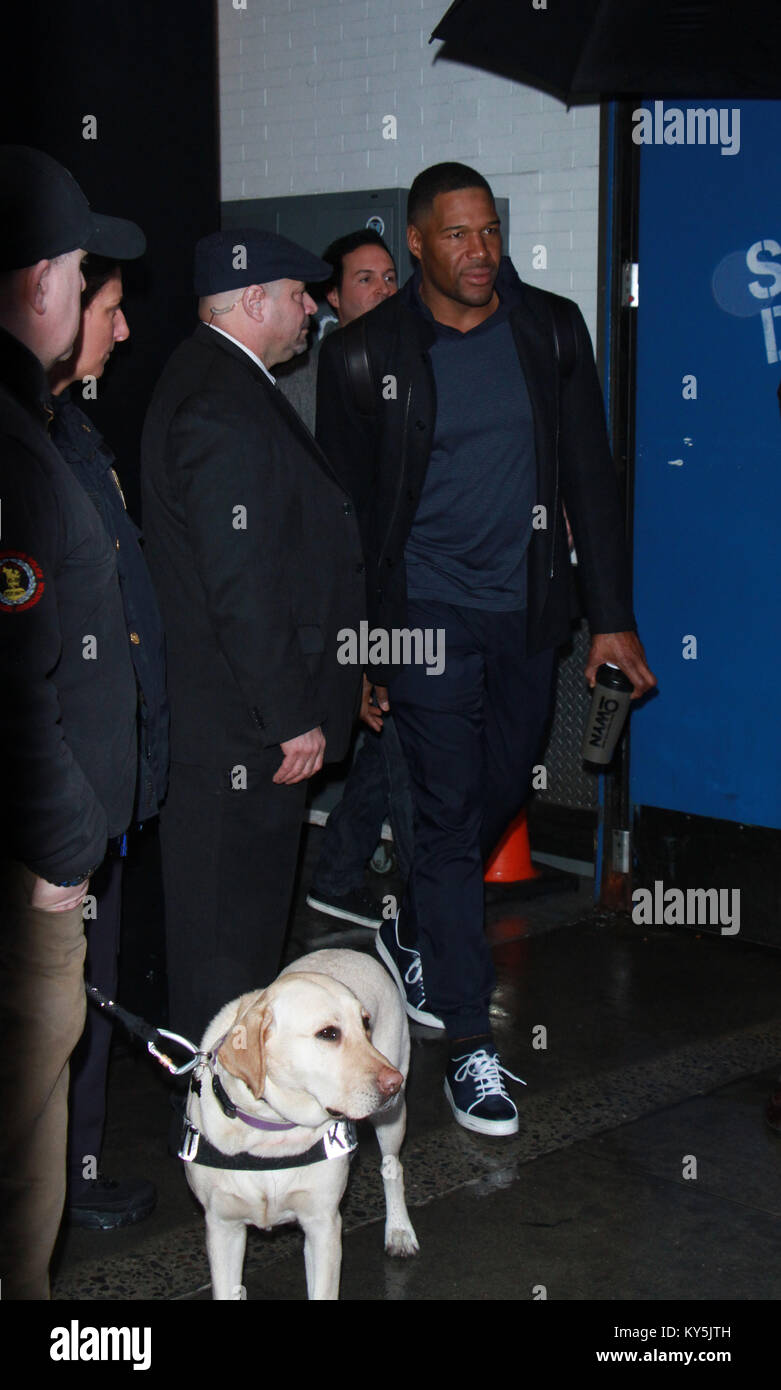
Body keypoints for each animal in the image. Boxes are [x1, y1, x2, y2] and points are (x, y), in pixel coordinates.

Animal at [180, 950, 416, 1295]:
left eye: (365, 1023)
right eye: (328, 1033)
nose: (394, 1084)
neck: (270, 1131)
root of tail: (353, 951)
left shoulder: (323, 1224)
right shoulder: (224, 1227)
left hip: (391, 1119)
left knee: (392, 1168)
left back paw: (399, 1230)